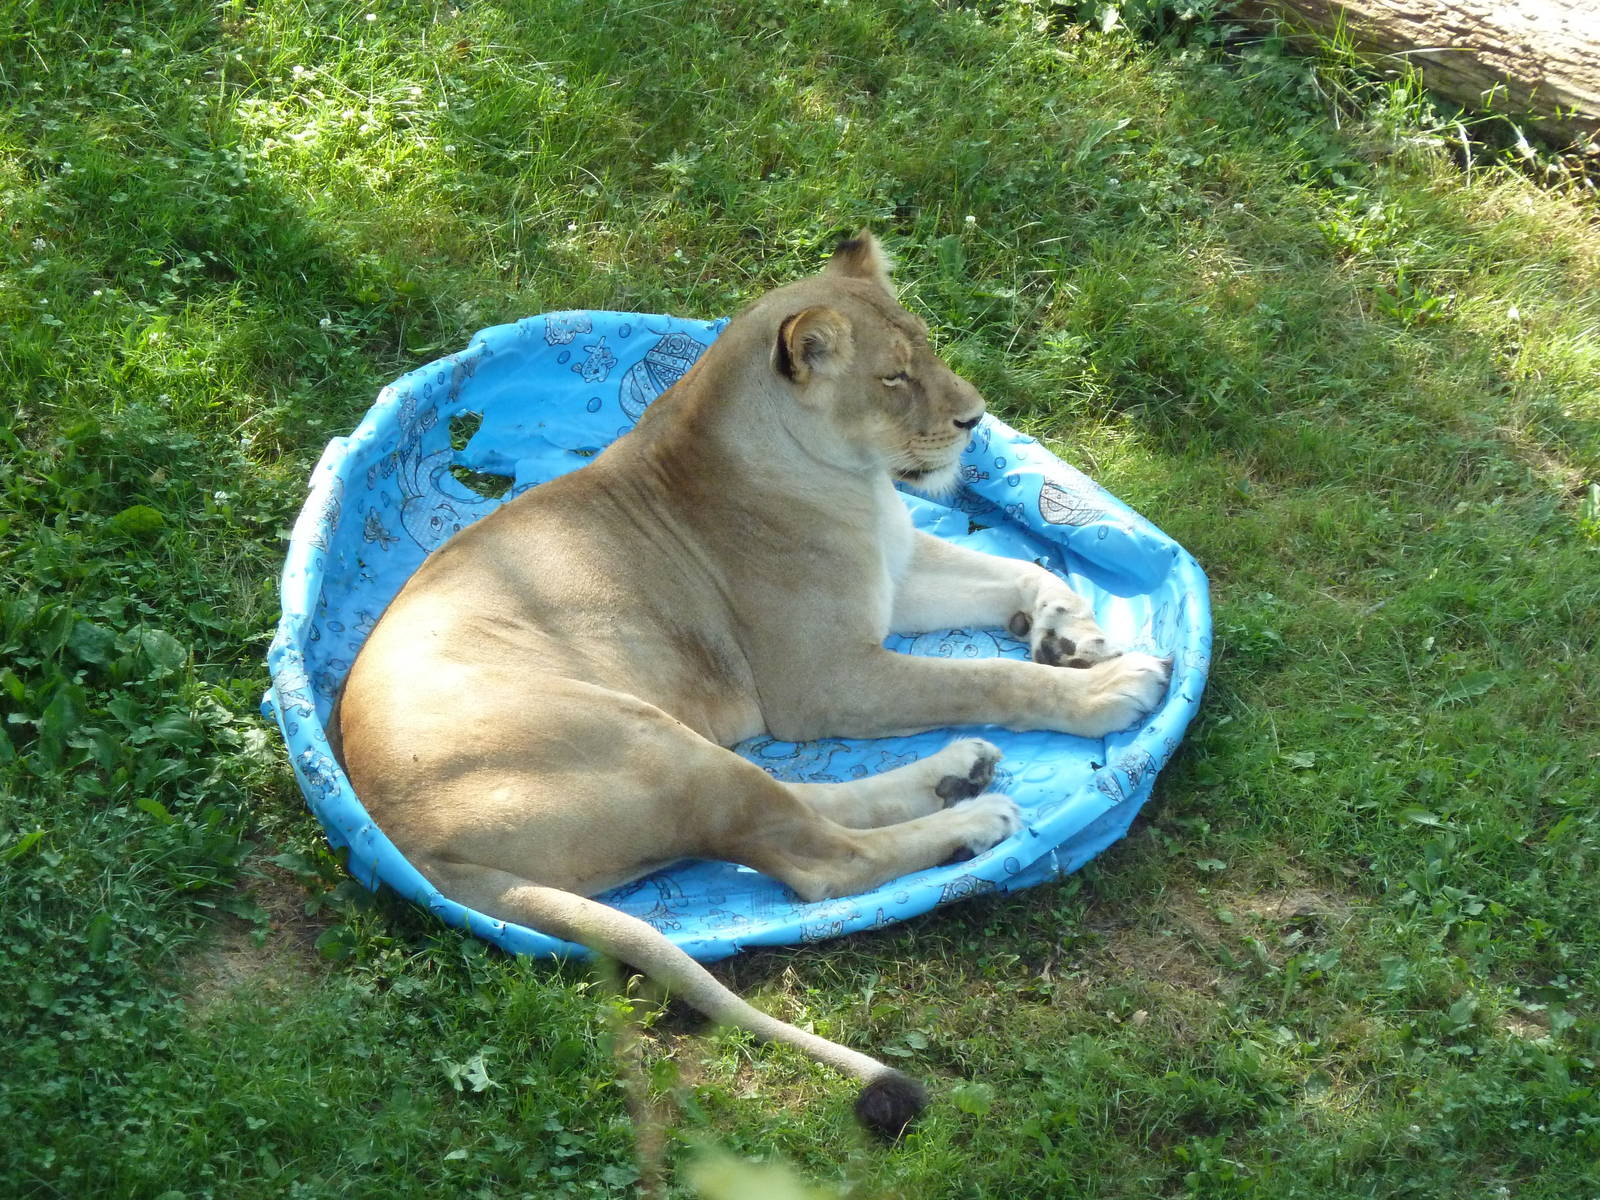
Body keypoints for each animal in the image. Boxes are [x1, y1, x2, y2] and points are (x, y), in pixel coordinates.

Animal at [334, 233, 1171, 1138]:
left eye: (929, 350)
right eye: (893, 377)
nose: (974, 419)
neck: (850, 482)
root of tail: (402, 844)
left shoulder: (897, 579)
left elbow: (1021, 571)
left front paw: (1072, 632)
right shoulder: (829, 680)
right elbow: (989, 676)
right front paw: (1105, 688)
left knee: (799, 809)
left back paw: (959, 773)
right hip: (644, 737)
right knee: (818, 861)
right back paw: (974, 819)